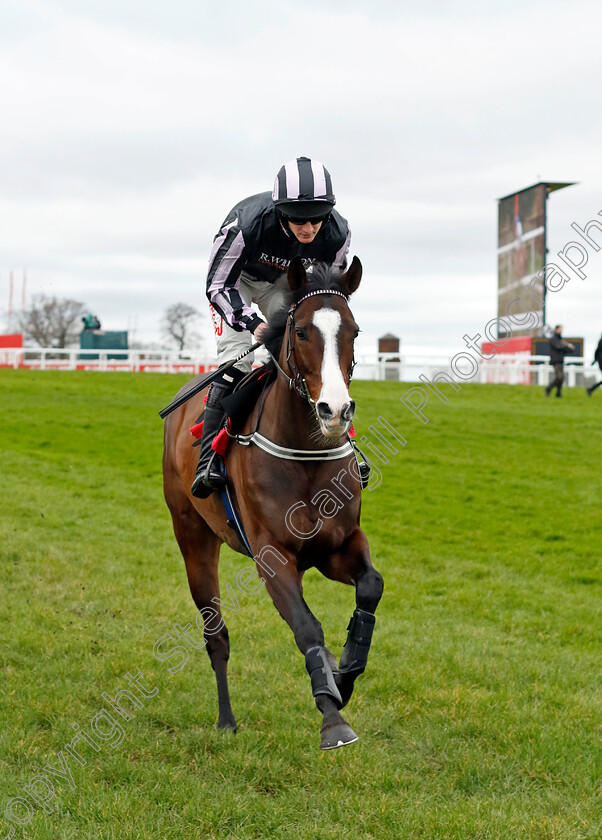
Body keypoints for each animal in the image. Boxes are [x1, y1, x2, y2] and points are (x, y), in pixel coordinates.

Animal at [162, 256, 382, 748]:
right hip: (192, 536)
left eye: (355, 330)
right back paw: (226, 720)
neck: (306, 454)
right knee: (216, 635)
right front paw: (332, 718)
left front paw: (344, 677)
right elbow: (306, 625)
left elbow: (371, 587)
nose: (335, 411)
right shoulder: (271, 555)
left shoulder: (337, 546)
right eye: (300, 331)